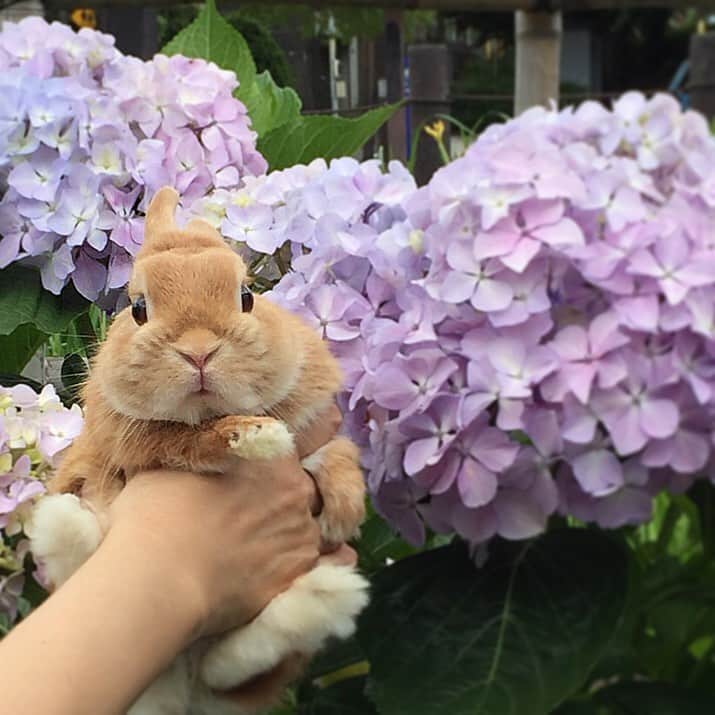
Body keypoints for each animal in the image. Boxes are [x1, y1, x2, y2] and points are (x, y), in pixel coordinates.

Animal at [28, 186, 369, 715]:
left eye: (247, 297)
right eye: (139, 308)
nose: (199, 352)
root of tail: (174, 693)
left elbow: (334, 452)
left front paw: (343, 512)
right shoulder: (142, 443)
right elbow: (190, 441)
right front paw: (260, 436)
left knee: (227, 666)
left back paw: (330, 593)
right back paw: (65, 522)